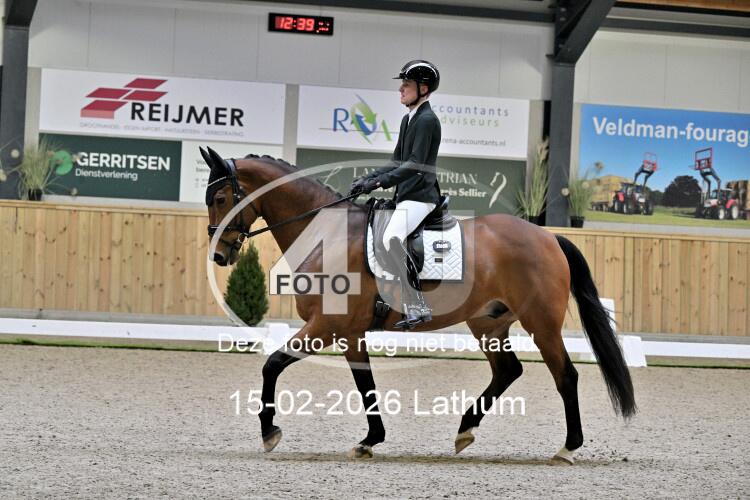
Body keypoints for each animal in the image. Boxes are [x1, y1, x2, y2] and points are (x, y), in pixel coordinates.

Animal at [201, 147, 636, 464]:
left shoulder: (326, 327)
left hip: (541, 323)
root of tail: (548, 237)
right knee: (507, 371)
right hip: (488, 323)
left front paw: (269, 433)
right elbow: (366, 386)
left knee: (565, 376)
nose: (220, 256)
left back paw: (567, 448)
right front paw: (370, 440)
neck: (327, 234)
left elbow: (272, 364)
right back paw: (464, 430)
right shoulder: (350, 333)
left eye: (221, 197)